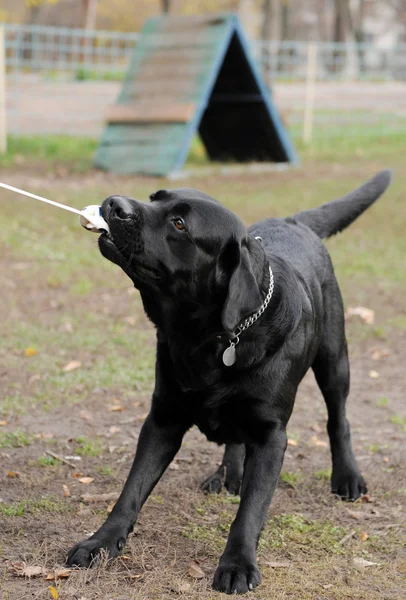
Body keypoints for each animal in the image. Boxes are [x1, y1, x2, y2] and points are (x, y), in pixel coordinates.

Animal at [66, 170, 390, 596]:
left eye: (180, 224)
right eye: (154, 198)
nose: (113, 203)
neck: (209, 337)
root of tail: (294, 221)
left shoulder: (272, 435)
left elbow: (251, 510)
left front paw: (237, 565)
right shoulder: (163, 418)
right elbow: (130, 491)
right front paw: (101, 543)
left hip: (335, 359)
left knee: (339, 419)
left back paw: (347, 478)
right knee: (236, 437)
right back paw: (230, 474)